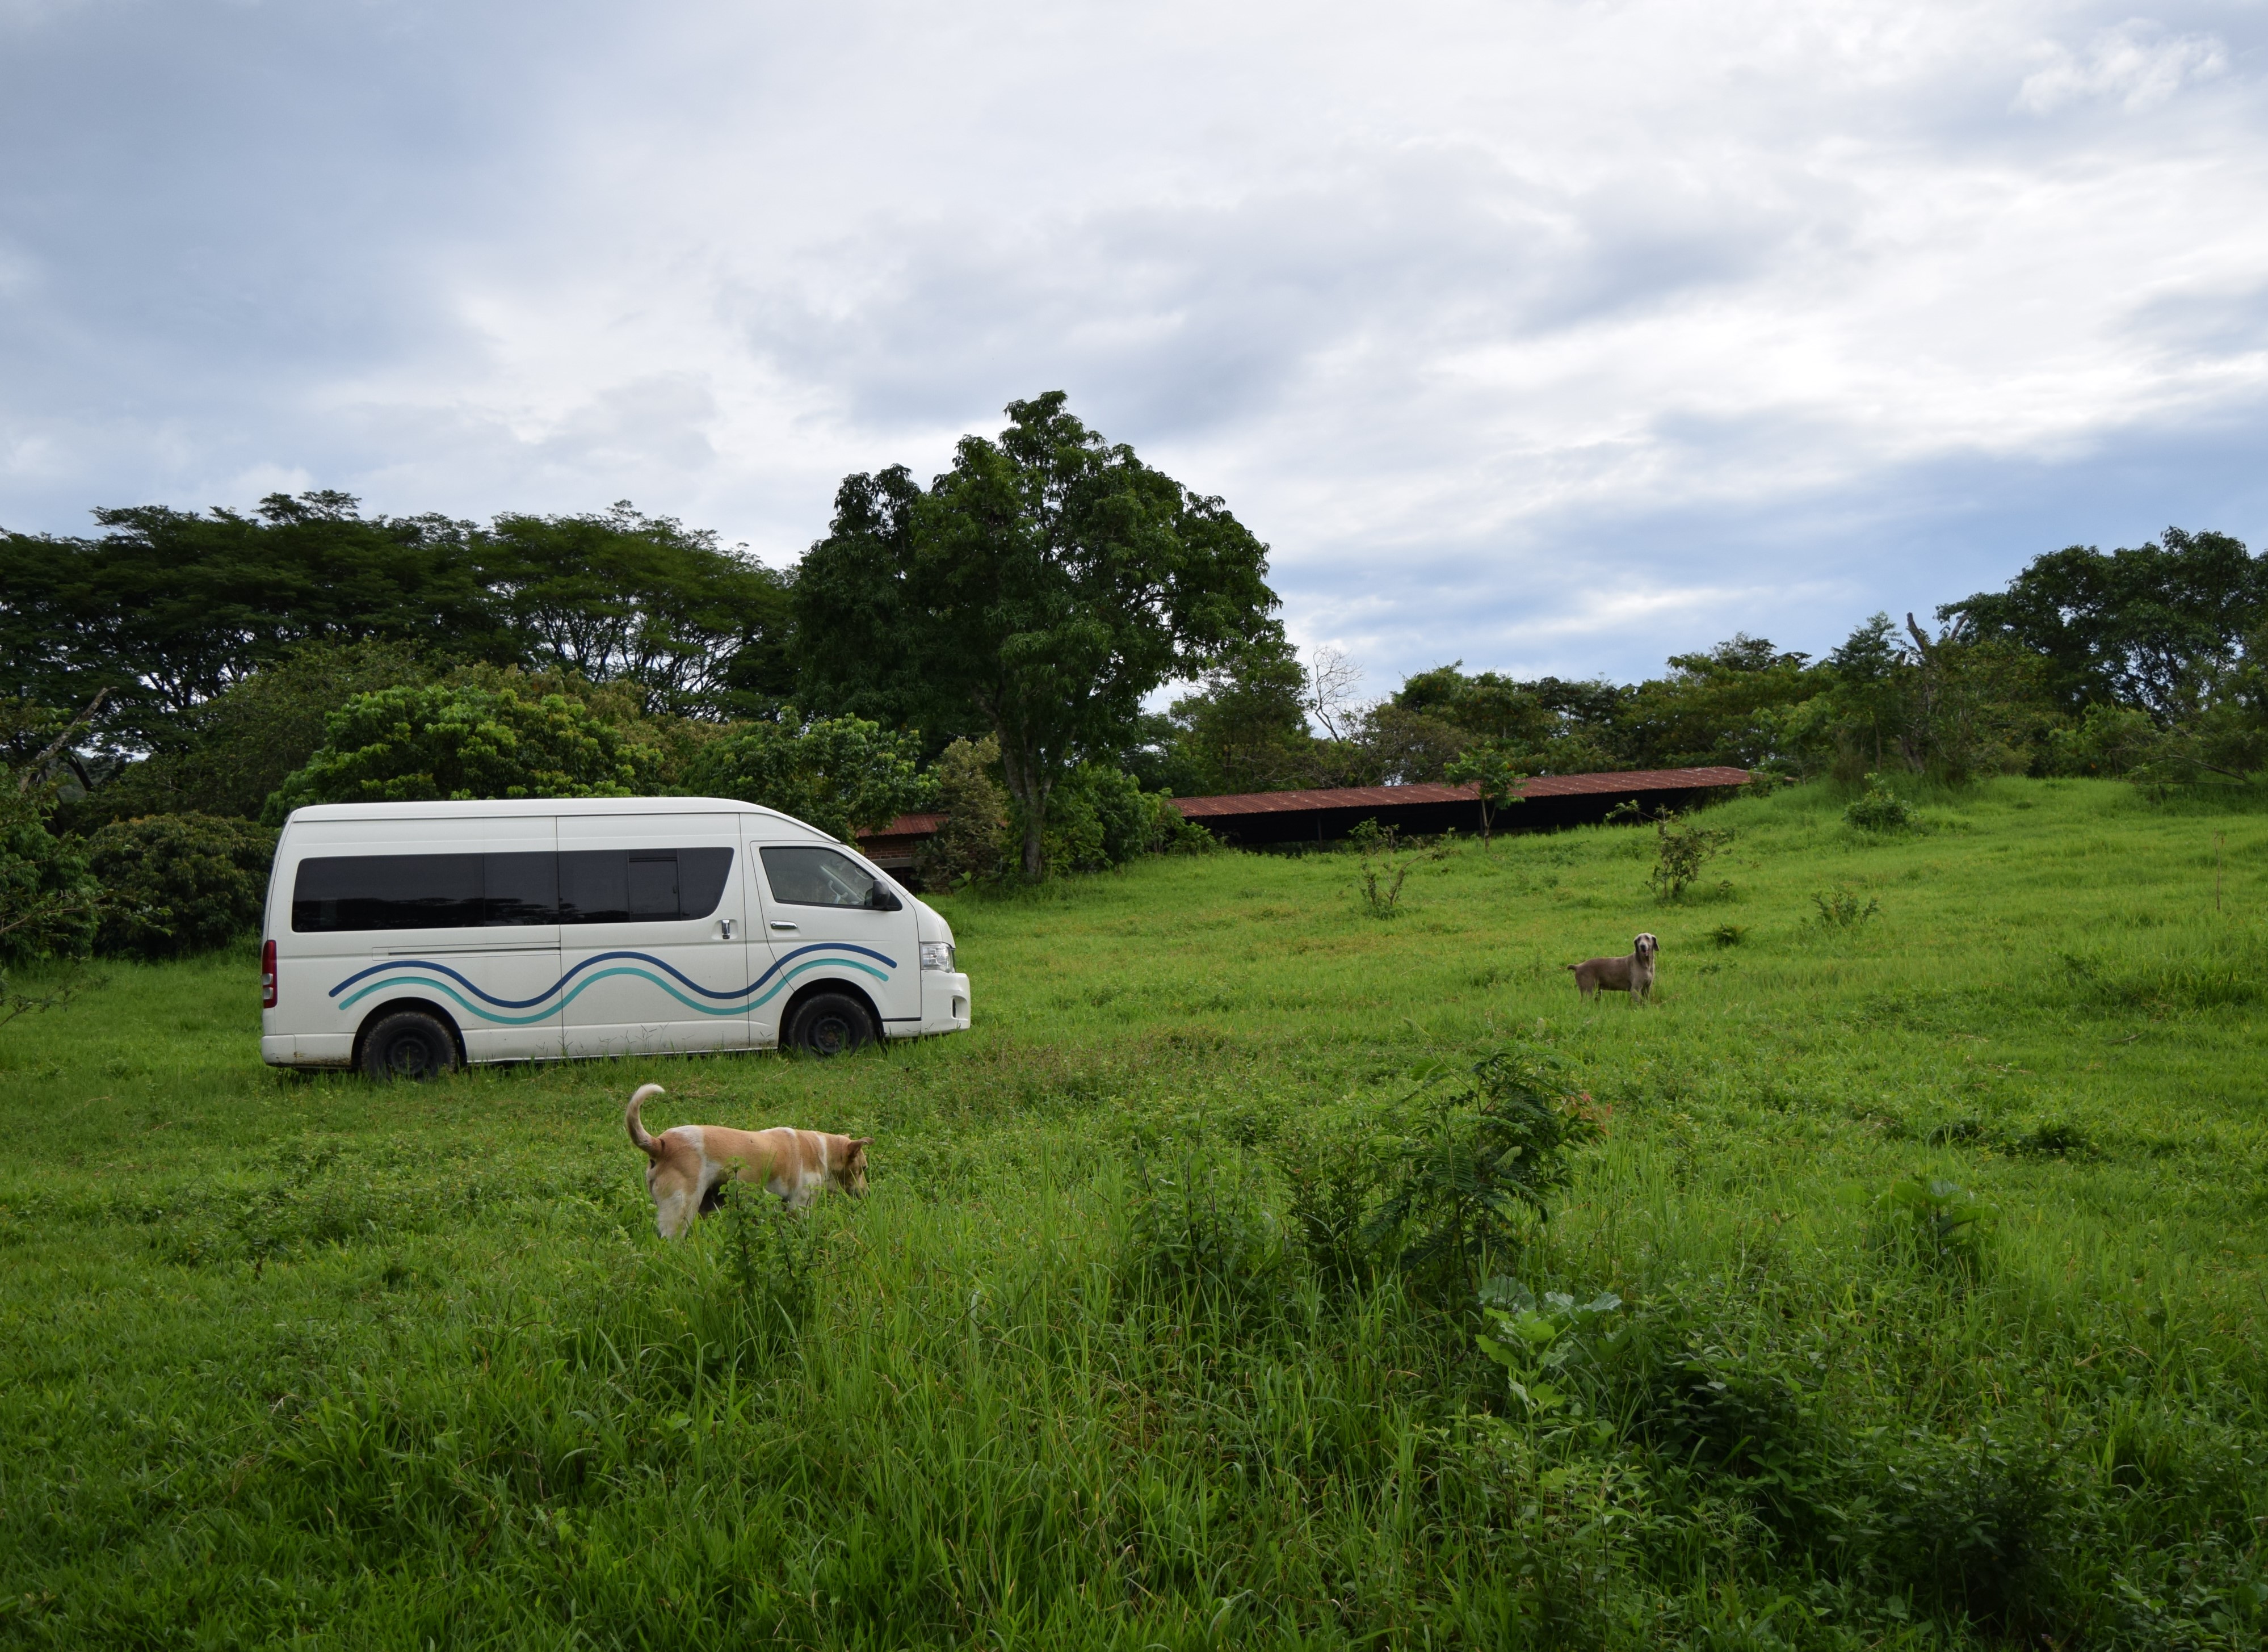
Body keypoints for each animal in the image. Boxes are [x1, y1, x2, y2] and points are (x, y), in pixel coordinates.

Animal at [625, 1084, 872, 1239]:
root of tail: (661, 1144)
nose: (868, 1194)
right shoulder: (800, 1206)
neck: (821, 1149)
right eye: (864, 1168)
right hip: (681, 1210)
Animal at [1566, 933, 1659, 1004]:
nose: (1642, 946)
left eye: (1647, 938)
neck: (1645, 964)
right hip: (1588, 991)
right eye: (1639, 939)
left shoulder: (1647, 987)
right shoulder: (1635, 989)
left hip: (1597, 991)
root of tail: (1578, 966)